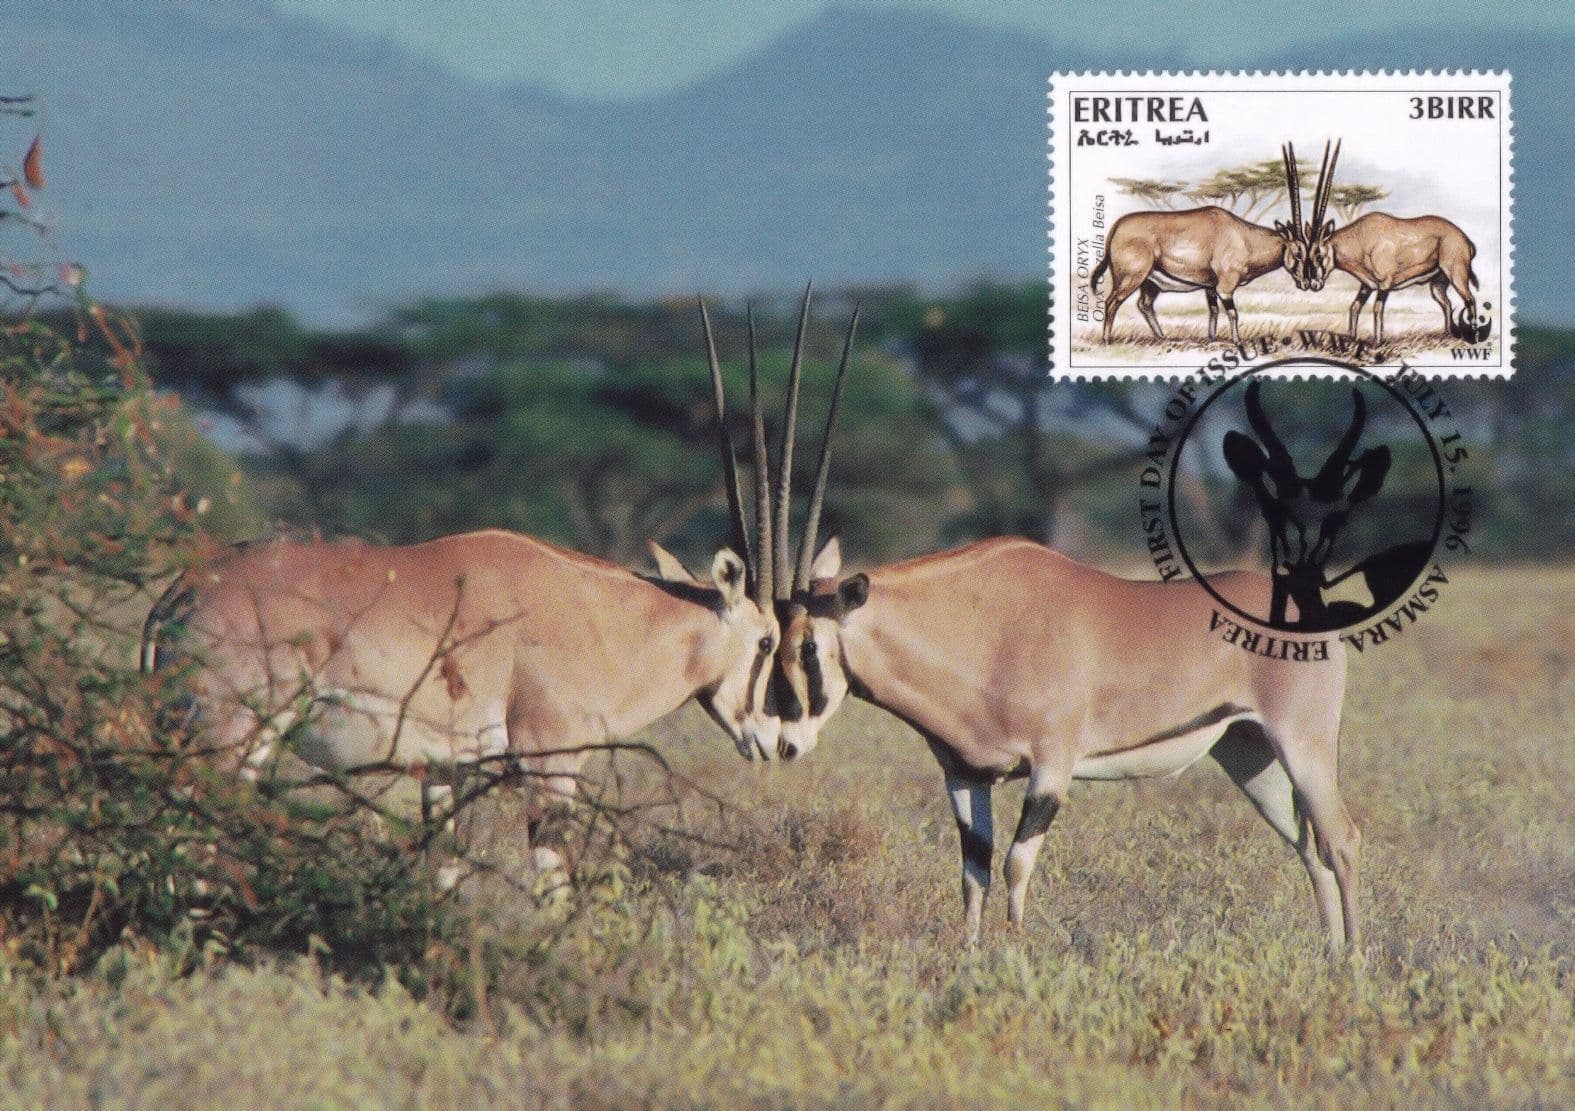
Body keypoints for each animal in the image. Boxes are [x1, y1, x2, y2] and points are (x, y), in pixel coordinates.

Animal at [139, 295, 848, 865]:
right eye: (767, 641)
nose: (781, 742)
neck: (603, 615)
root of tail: (181, 594)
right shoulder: (550, 762)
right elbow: (553, 881)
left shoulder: (444, 770)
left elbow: (443, 874)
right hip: (226, 739)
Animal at [772, 537, 1361, 951]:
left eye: (808, 646)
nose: (783, 745)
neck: (983, 623)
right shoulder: (964, 774)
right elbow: (973, 872)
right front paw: (970, 956)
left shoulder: (1050, 768)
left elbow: (1015, 865)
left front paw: (1015, 953)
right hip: (1250, 758)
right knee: (1309, 848)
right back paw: (1329, 954)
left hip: (1301, 745)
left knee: (1341, 840)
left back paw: (1354, 963)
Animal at [1090, 147, 1311, 345]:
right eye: (1298, 253)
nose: (1307, 283)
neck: (1244, 238)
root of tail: (1117, 226)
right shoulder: (1225, 287)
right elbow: (1233, 312)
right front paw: (1237, 341)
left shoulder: (1210, 287)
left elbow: (1213, 310)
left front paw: (1212, 337)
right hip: (1130, 277)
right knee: (1111, 302)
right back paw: (1107, 340)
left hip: (1149, 282)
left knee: (1143, 304)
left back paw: (1162, 337)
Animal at [1290, 140, 1486, 344]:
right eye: (1304, 256)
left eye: (1319, 254)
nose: (1313, 284)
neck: (1361, 238)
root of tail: (1465, 239)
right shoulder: (1367, 285)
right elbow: (1354, 307)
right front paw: (1351, 338)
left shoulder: (1384, 284)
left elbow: (1377, 308)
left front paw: (1377, 341)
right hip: (1438, 282)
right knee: (1446, 303)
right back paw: (1447, 334)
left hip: (1456, 274)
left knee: (1470, 299)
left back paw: (1474, 338)